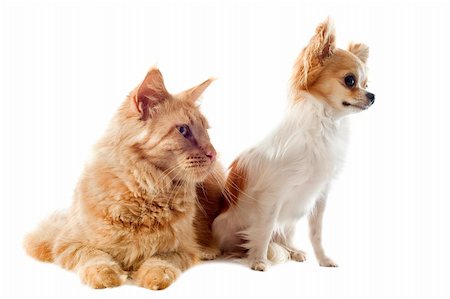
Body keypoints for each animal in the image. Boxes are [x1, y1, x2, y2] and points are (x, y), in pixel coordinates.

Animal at [24, 68, 220, 290]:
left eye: (206, 131)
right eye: (183, 130)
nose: (213, 154)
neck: (143, 192)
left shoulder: (182, 249)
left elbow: (160, 259)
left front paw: (154, 276)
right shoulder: (67, 242)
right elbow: (93, 255)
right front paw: (105, 275)